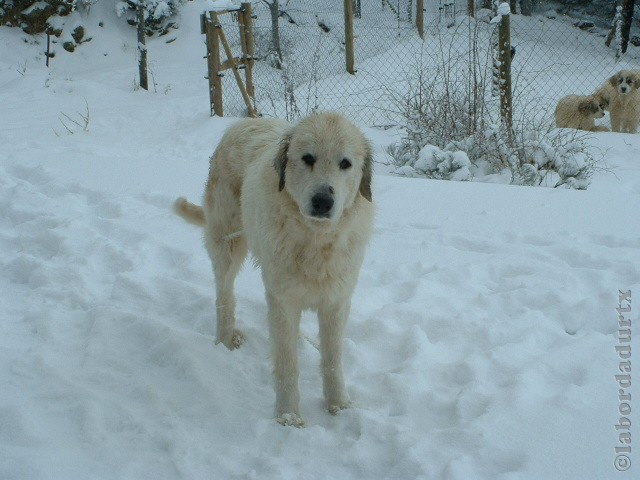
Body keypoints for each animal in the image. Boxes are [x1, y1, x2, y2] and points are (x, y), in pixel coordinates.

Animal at [175, 113, 376, 428]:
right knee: (224, 294)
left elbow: (332, 360)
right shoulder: (282, 298)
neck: (315, 239)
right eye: (308, 158)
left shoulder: (336, 300)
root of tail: (241, 122)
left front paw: (339, 406)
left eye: (345, 163)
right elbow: (287, 363)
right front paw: (288, 416)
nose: (323, 201)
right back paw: (225, 339)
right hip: (227, 244)